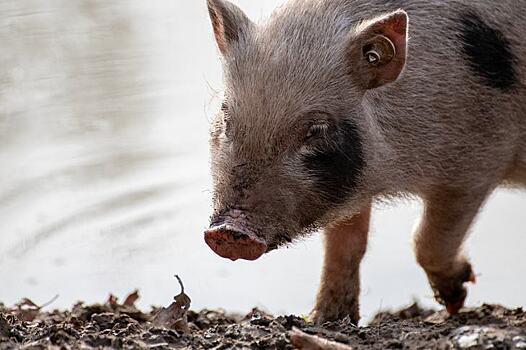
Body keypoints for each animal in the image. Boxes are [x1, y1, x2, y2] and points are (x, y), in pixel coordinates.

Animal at [205, 0, 526, 324]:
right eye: (227, 118)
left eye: (315, 130)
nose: (228, 231)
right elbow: (345, 246)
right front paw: (325, 319)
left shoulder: (479, 161)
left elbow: (427, 239)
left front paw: (455, 301)